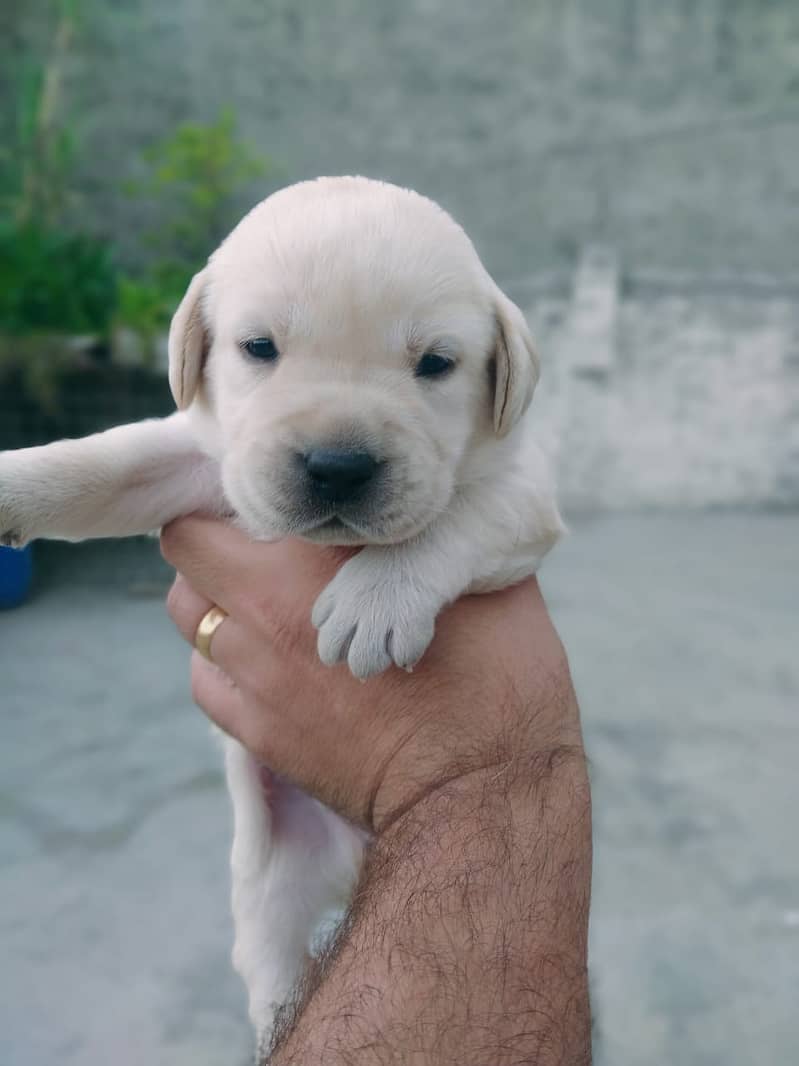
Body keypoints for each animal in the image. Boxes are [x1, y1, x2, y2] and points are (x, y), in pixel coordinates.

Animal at [0, 174, 566, 1048]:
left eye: (436, 363)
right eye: (258, 349)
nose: (338, 466)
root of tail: (361, 861)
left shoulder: (523, 490)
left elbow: (457, 519)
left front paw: (376, 596)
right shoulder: (202, 459)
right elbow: (108, 459)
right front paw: (14, 482)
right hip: (270, 877)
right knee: (269, 955)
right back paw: (275, 1014)